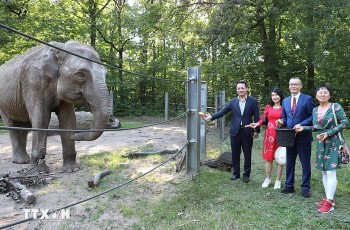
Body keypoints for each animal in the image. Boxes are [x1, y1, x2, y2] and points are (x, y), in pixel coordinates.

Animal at [0, 40, 110, 172]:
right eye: (80, 75)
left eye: (105, 73)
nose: (75, 136)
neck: (59, 49)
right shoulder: (34, 81)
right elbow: (41, 117)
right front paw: (39, 170)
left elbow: (69, 119)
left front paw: (72, 169)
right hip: (2, 103)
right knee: (12, 125)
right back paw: (21, 161)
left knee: (24, 125)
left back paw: (25, 160)